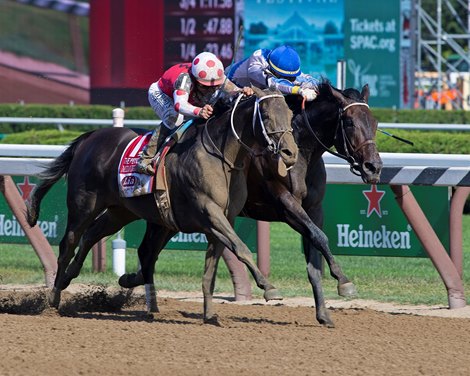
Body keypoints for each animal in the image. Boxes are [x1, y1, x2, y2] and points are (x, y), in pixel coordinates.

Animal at [24, 87, 298, 308]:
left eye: (290, 115)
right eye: (266, 116)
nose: (290, 153)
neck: (221, 157)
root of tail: (89, 137)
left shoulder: (222, 217)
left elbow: (227, 248)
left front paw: (128, 278)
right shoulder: (209, 211)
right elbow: (240, 247)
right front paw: (269, 287)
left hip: (120, 211)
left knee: (93, 234)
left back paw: (72, 275)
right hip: (83, 205)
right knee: (68, 242)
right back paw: (55, 294)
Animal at [120, 81, 382, 326]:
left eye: (375, 123)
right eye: (349, 122)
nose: (374, 167)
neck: (300, 152)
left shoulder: (314, 209)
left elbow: (314, 258)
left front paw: (324, 314)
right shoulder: (284, 203)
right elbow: (320, 237)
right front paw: (344, 281)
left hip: (167, 220)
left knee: (147, 252)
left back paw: (133, 283)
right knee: (148, 251)